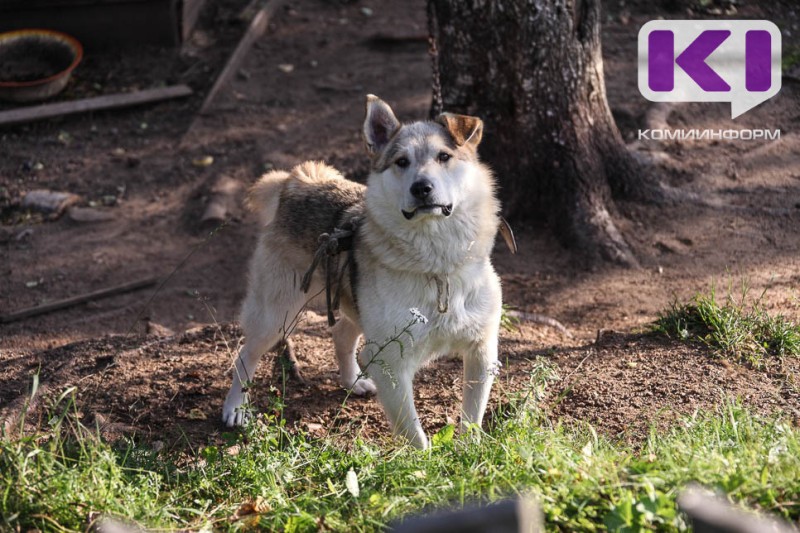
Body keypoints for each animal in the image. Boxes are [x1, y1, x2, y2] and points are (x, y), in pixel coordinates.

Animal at [222, 95, 504, 448]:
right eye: (401, 161)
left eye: (444, 157)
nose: (422, 188)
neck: (436, 263)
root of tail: (297, 180)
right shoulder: (391, 362)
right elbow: (414, 433)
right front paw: (428, 461)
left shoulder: (482, 349)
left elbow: (472, 418)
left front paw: (469, 453)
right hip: (277, 315)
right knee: (245, 356)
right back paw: (235, 408)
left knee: (342, 333)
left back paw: (352, 381)